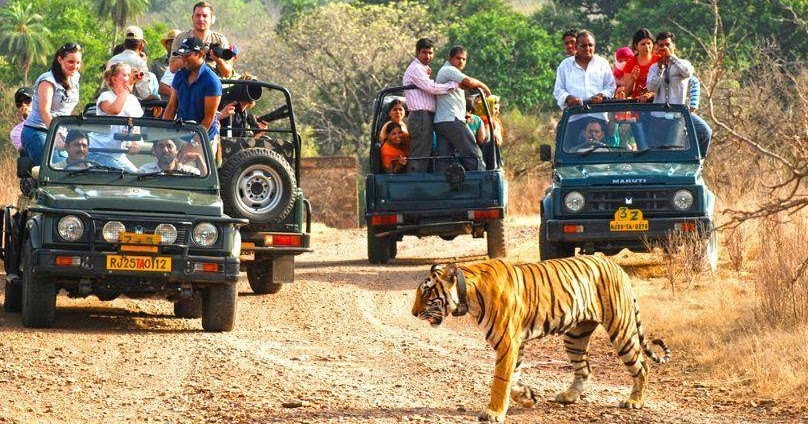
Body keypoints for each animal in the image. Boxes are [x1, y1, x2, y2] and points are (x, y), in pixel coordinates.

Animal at [411, 255, 671, 423]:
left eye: (426, 292)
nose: (413, 313)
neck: (468, 295)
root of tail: (616, 265)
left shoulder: (508, 342)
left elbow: (500, 380)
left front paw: (493, 413)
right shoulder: (516, 344)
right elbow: (513, 379)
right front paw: (528, 397)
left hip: (621, 329)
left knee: (642, 366)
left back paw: (634, 401)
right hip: (575, 336)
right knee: (584, 370)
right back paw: (569, 396)